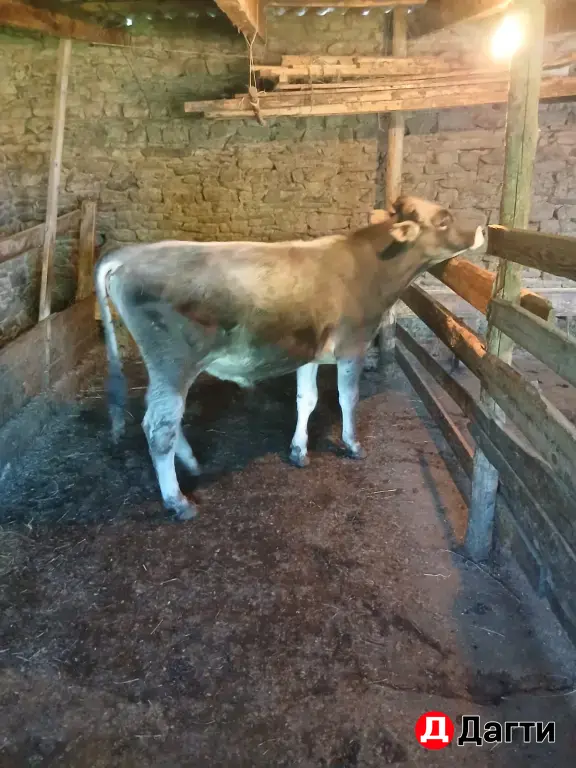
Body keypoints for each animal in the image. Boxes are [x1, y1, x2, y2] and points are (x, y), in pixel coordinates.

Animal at [95, 196, 484, 521]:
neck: (370, 267)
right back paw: (177, 501)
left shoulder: (308, 350)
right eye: (444, 219)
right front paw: (353, 444)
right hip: (174, 364)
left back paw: (191, 462)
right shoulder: (353, 345)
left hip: (163, 368)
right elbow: (348, 398)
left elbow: (306, 399)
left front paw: (299, 451)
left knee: (159, 416)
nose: (481, 230)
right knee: (158, 427)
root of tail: (129, 254)